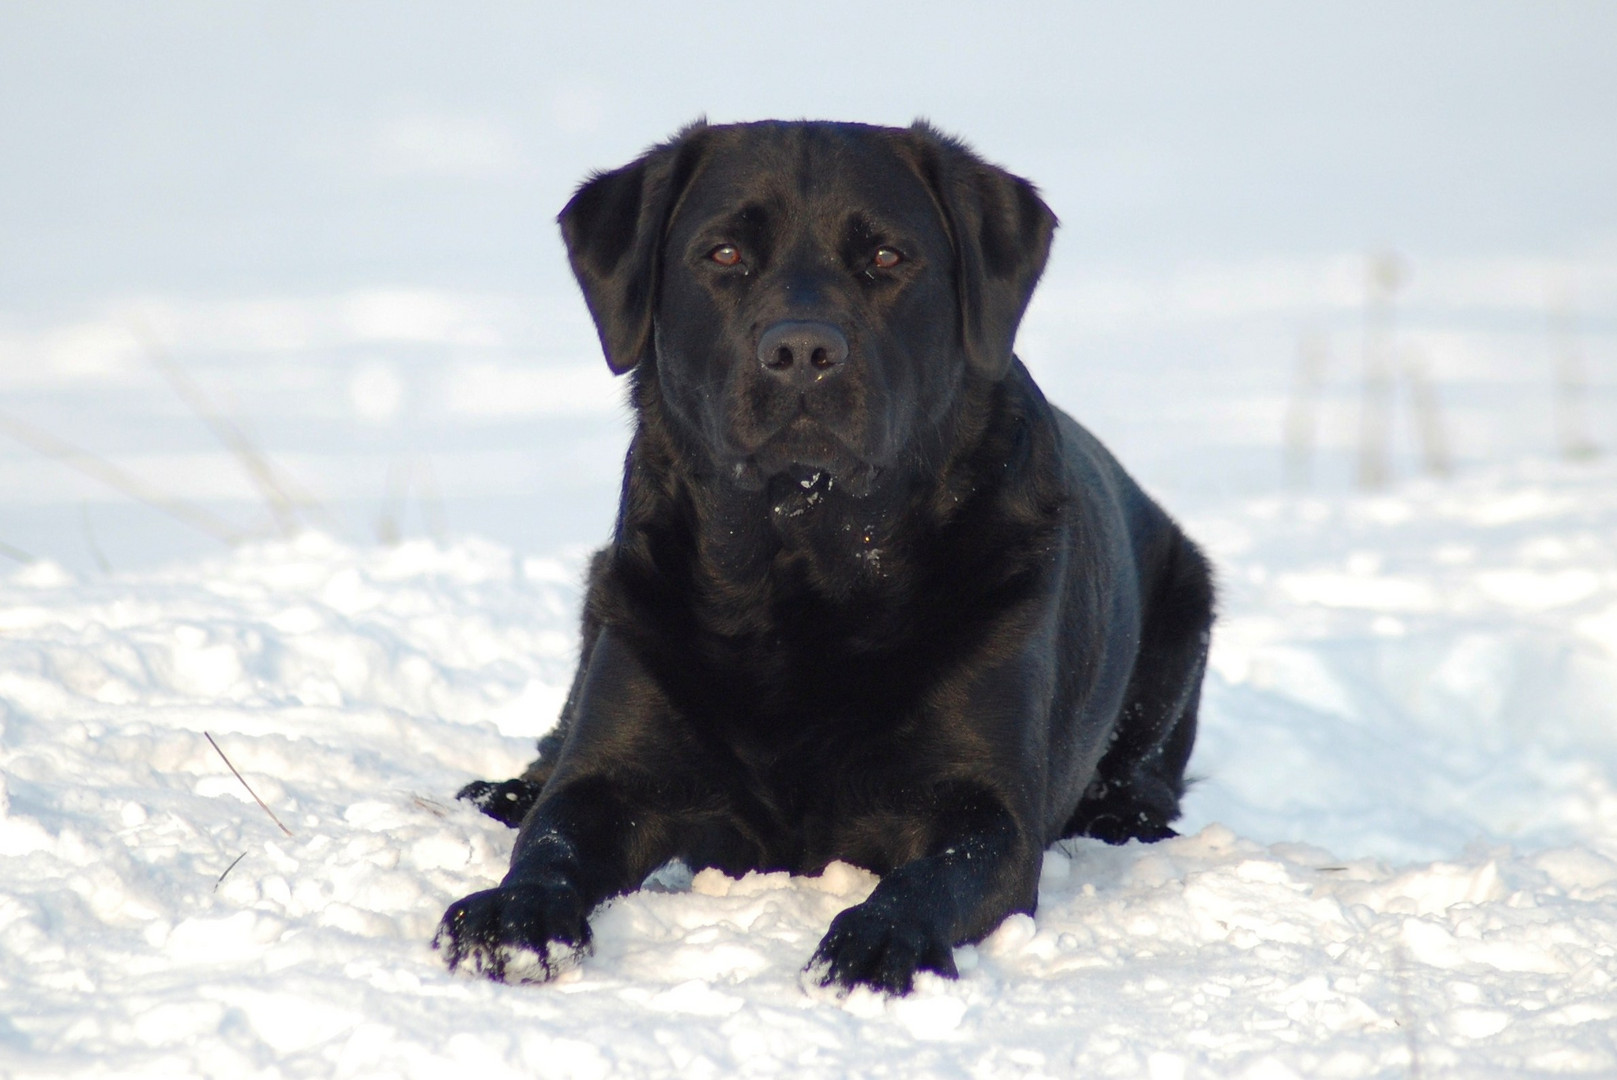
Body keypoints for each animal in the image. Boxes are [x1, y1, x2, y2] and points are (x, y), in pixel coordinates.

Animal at [433, 120, 1215, 995]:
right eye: (725, 254)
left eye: (886, 256)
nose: (802, 349)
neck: (803, 569)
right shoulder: (611, 774)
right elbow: (551, 838)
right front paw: (514, 915)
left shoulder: (986, 809)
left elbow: (930, 876)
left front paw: (878, 939)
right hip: (609, 593)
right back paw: (503, 790)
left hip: (1184, 607)